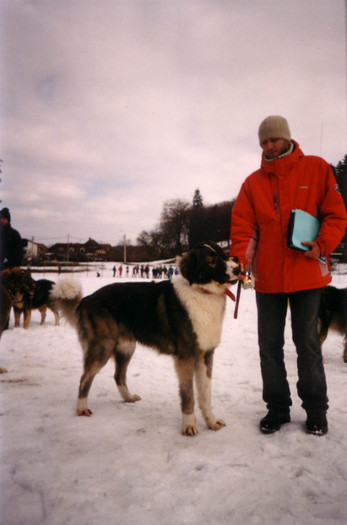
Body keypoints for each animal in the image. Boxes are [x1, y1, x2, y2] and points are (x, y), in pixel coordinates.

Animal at [51, 242, 241, 434]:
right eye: (211, 261)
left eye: (225, 256)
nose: (238, 268)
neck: (202, 292)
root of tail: (87, 299)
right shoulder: (185, 357)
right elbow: (188, 395)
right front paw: (189, 426)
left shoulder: (205, 354)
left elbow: (205, 394)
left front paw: (211, 422)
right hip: (103, 348)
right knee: (85, 377)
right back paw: (82, 408)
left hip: (126, 348)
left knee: (118, 375)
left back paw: (128, 398)